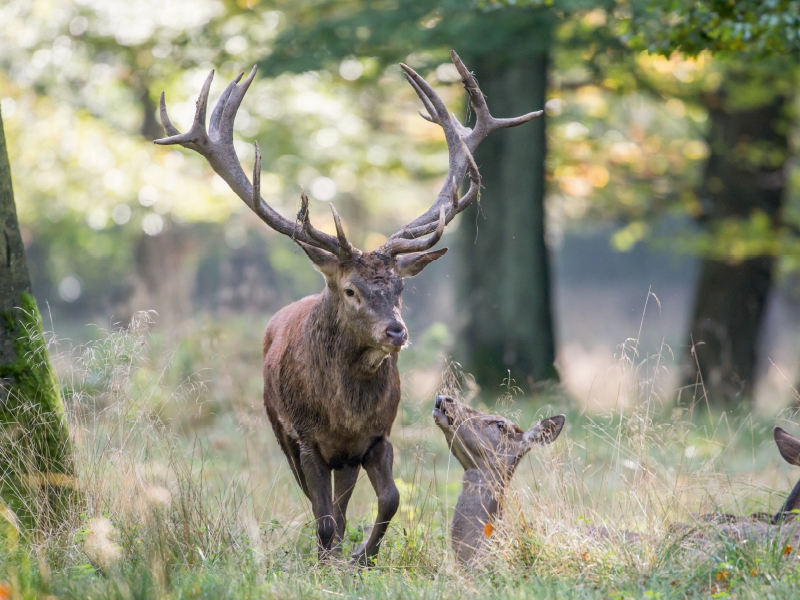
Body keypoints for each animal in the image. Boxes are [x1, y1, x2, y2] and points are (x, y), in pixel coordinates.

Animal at [155, 51, 544, 564]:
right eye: (351, 290)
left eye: (400, 288)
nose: (396, 332)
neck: (344, 413)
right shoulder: (306, 438)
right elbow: (322, 517)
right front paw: (332, 560)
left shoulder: (375, 438)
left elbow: (390, 499)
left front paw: (364, 555)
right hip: (279, 428)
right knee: (319, 504)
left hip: (345, 457)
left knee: (341, 502)